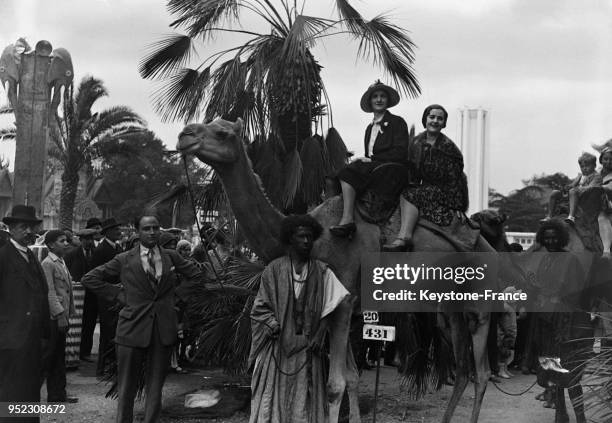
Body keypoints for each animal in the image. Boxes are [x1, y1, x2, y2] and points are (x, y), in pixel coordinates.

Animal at [176, 117, 498, 422]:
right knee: (464, 368)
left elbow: (335, 386)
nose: (185, 135)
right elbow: (352, 379)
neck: (315, 236)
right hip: (449, 310)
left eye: (222, 133)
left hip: (480, 302)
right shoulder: (348, 310)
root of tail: (490, 247)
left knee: (481, 373)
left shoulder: (342, 304)